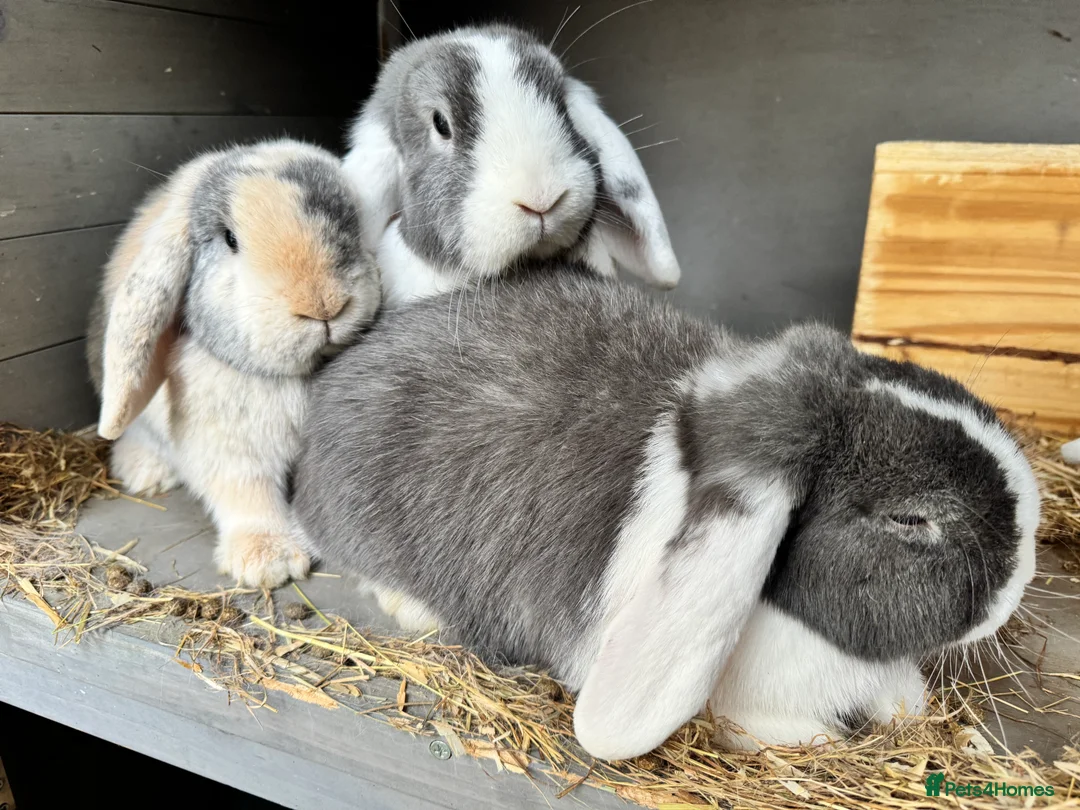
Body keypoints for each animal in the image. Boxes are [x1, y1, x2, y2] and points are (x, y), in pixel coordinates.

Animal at [86, 140, 381, 589]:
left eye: (352, 220)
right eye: (230, 239)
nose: (324, 305)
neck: (296, 376)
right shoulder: (232, 450)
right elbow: (248, 496)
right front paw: (269, 562)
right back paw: (146, 473)